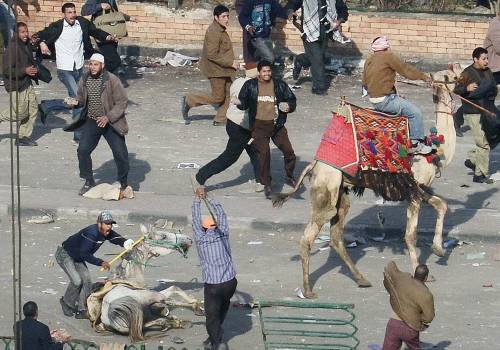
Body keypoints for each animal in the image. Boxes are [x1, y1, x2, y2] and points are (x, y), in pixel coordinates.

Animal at [274, 64, 460, 296]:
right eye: (450, 76)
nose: (463, 78)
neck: (437, 151)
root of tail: (314, 164)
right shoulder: (412, 189)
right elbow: (411, 235)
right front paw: (421, 272)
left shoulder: (417, 187)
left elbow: (442, 205)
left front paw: (439, 250)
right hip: (326, 188)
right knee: (308, 236)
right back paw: (308, 290)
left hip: (340, 193)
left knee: (336, 235)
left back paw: (361, 279)